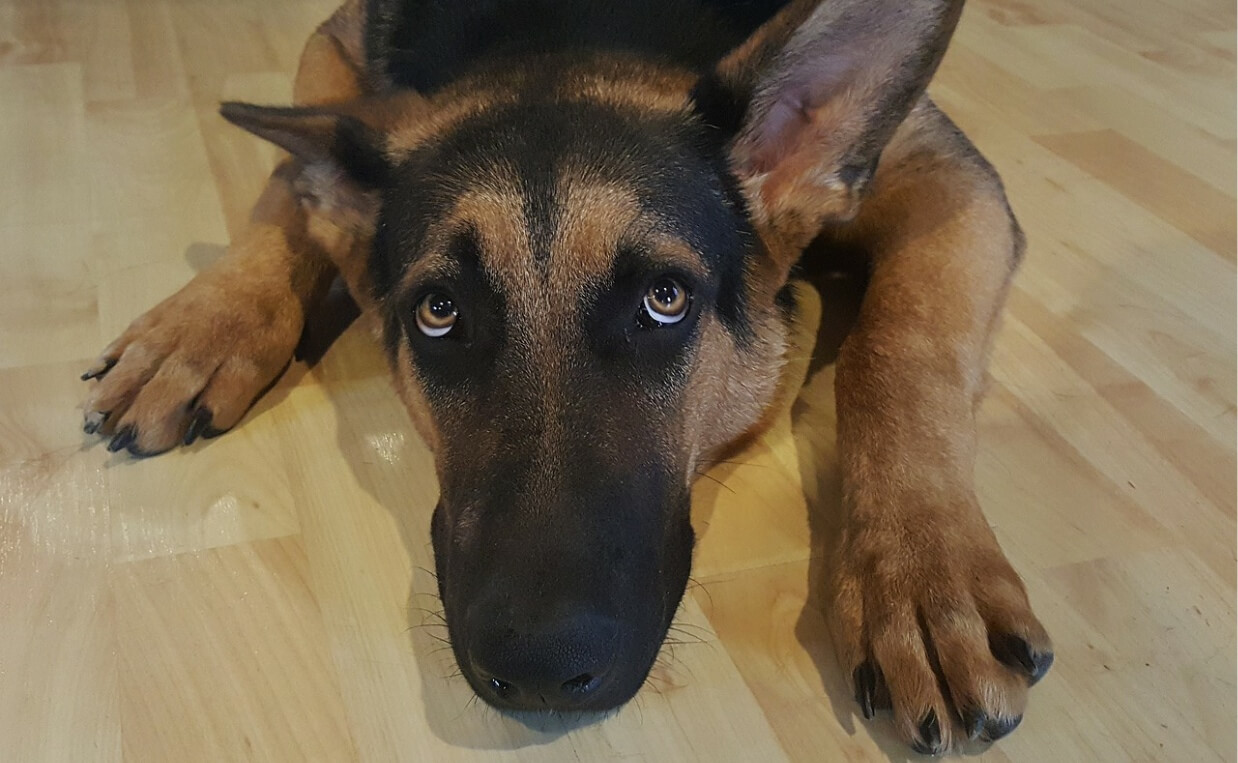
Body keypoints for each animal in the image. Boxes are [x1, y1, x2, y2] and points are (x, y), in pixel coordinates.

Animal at [82, 0, 1054, 753]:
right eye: (439, 311)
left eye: (665, 299)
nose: (541, 668)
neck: (569, 26)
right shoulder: (335, 50)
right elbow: (294, 179)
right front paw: (202, 322)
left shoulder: (942, 173)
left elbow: (899, 349)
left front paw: (923, 575)